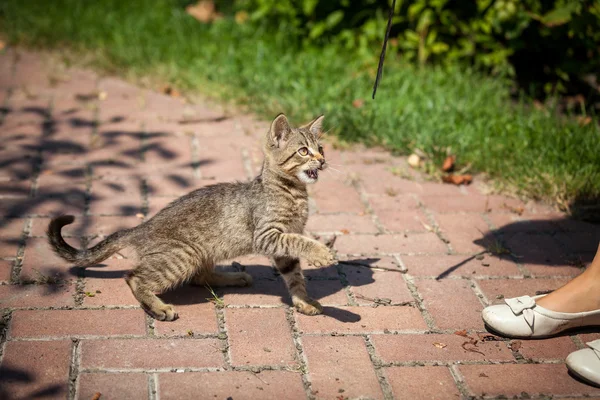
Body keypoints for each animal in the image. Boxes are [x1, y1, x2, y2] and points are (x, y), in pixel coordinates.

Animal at [45, 114, 338, 320]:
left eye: (321, 148)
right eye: (303, 151)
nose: (323, 161)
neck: (294, 193)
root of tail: (142, 227)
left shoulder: (284, 242)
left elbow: (294, 275)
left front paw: (303, 301)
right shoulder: (268, 234)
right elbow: (300, 243)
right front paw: (322, 253)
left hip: (201, 253)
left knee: (200, 277)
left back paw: (234, 278)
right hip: (183, 255)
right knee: (134, 277)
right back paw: (159, 307)